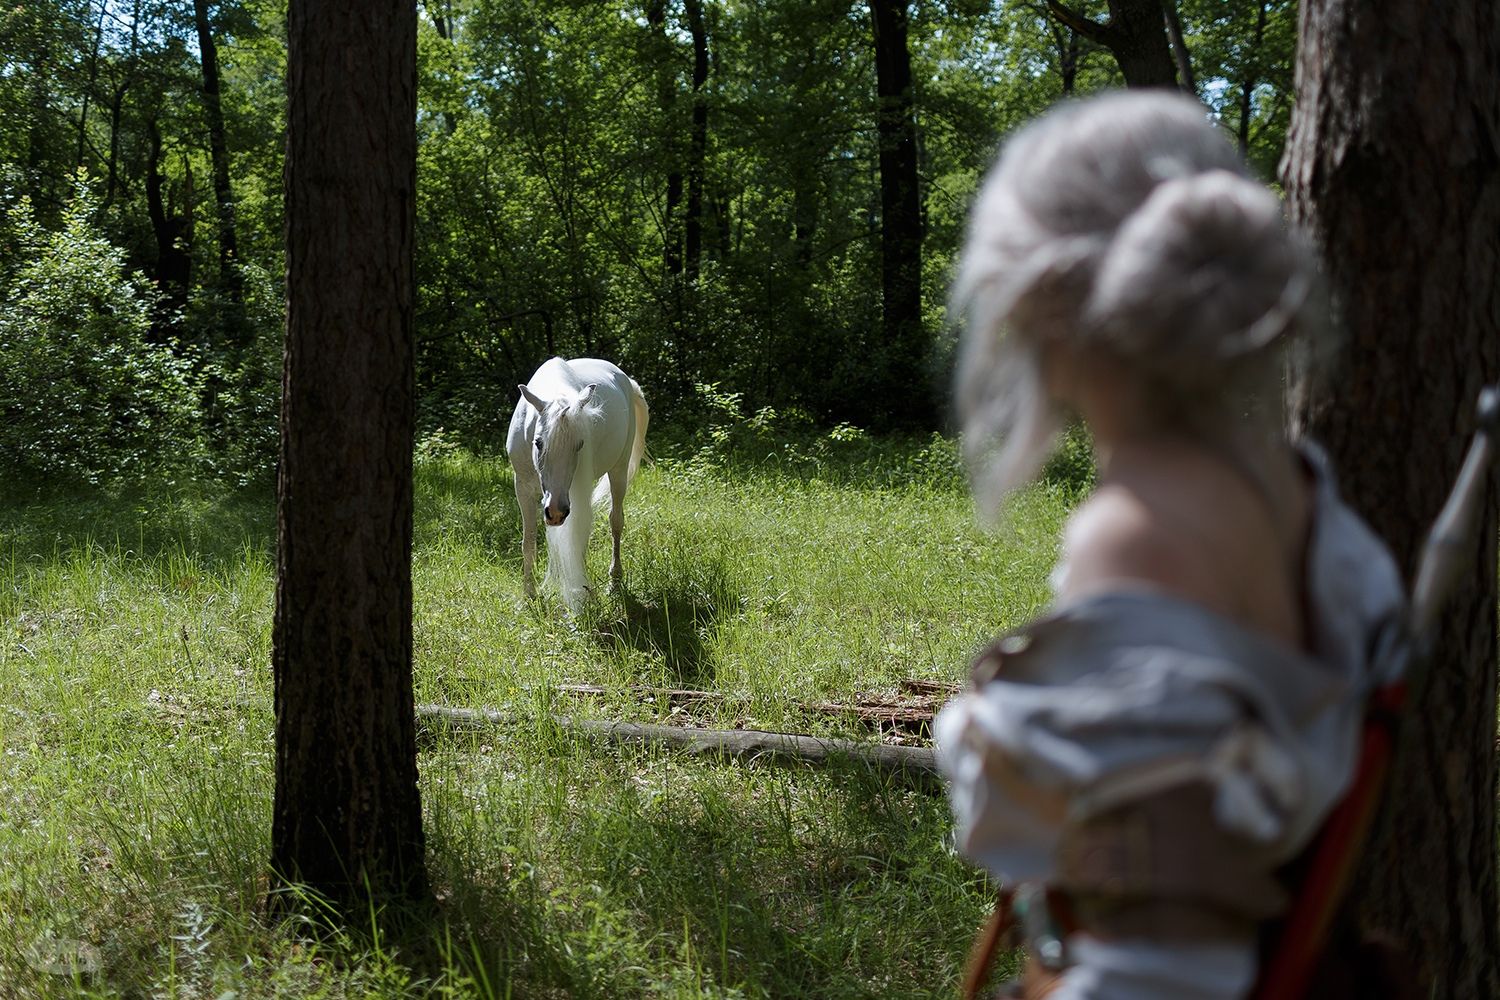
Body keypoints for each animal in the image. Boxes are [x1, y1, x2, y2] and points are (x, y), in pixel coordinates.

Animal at [507, 359, 648, 611]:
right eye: (538, 442)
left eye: (579, 445)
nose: (555, 512)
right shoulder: (522, 488)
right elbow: (528, 543)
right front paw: (528, 596)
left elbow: (577, 538)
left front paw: (581, 592)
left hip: (619, 470)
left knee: (616, 522)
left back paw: (614, 583)